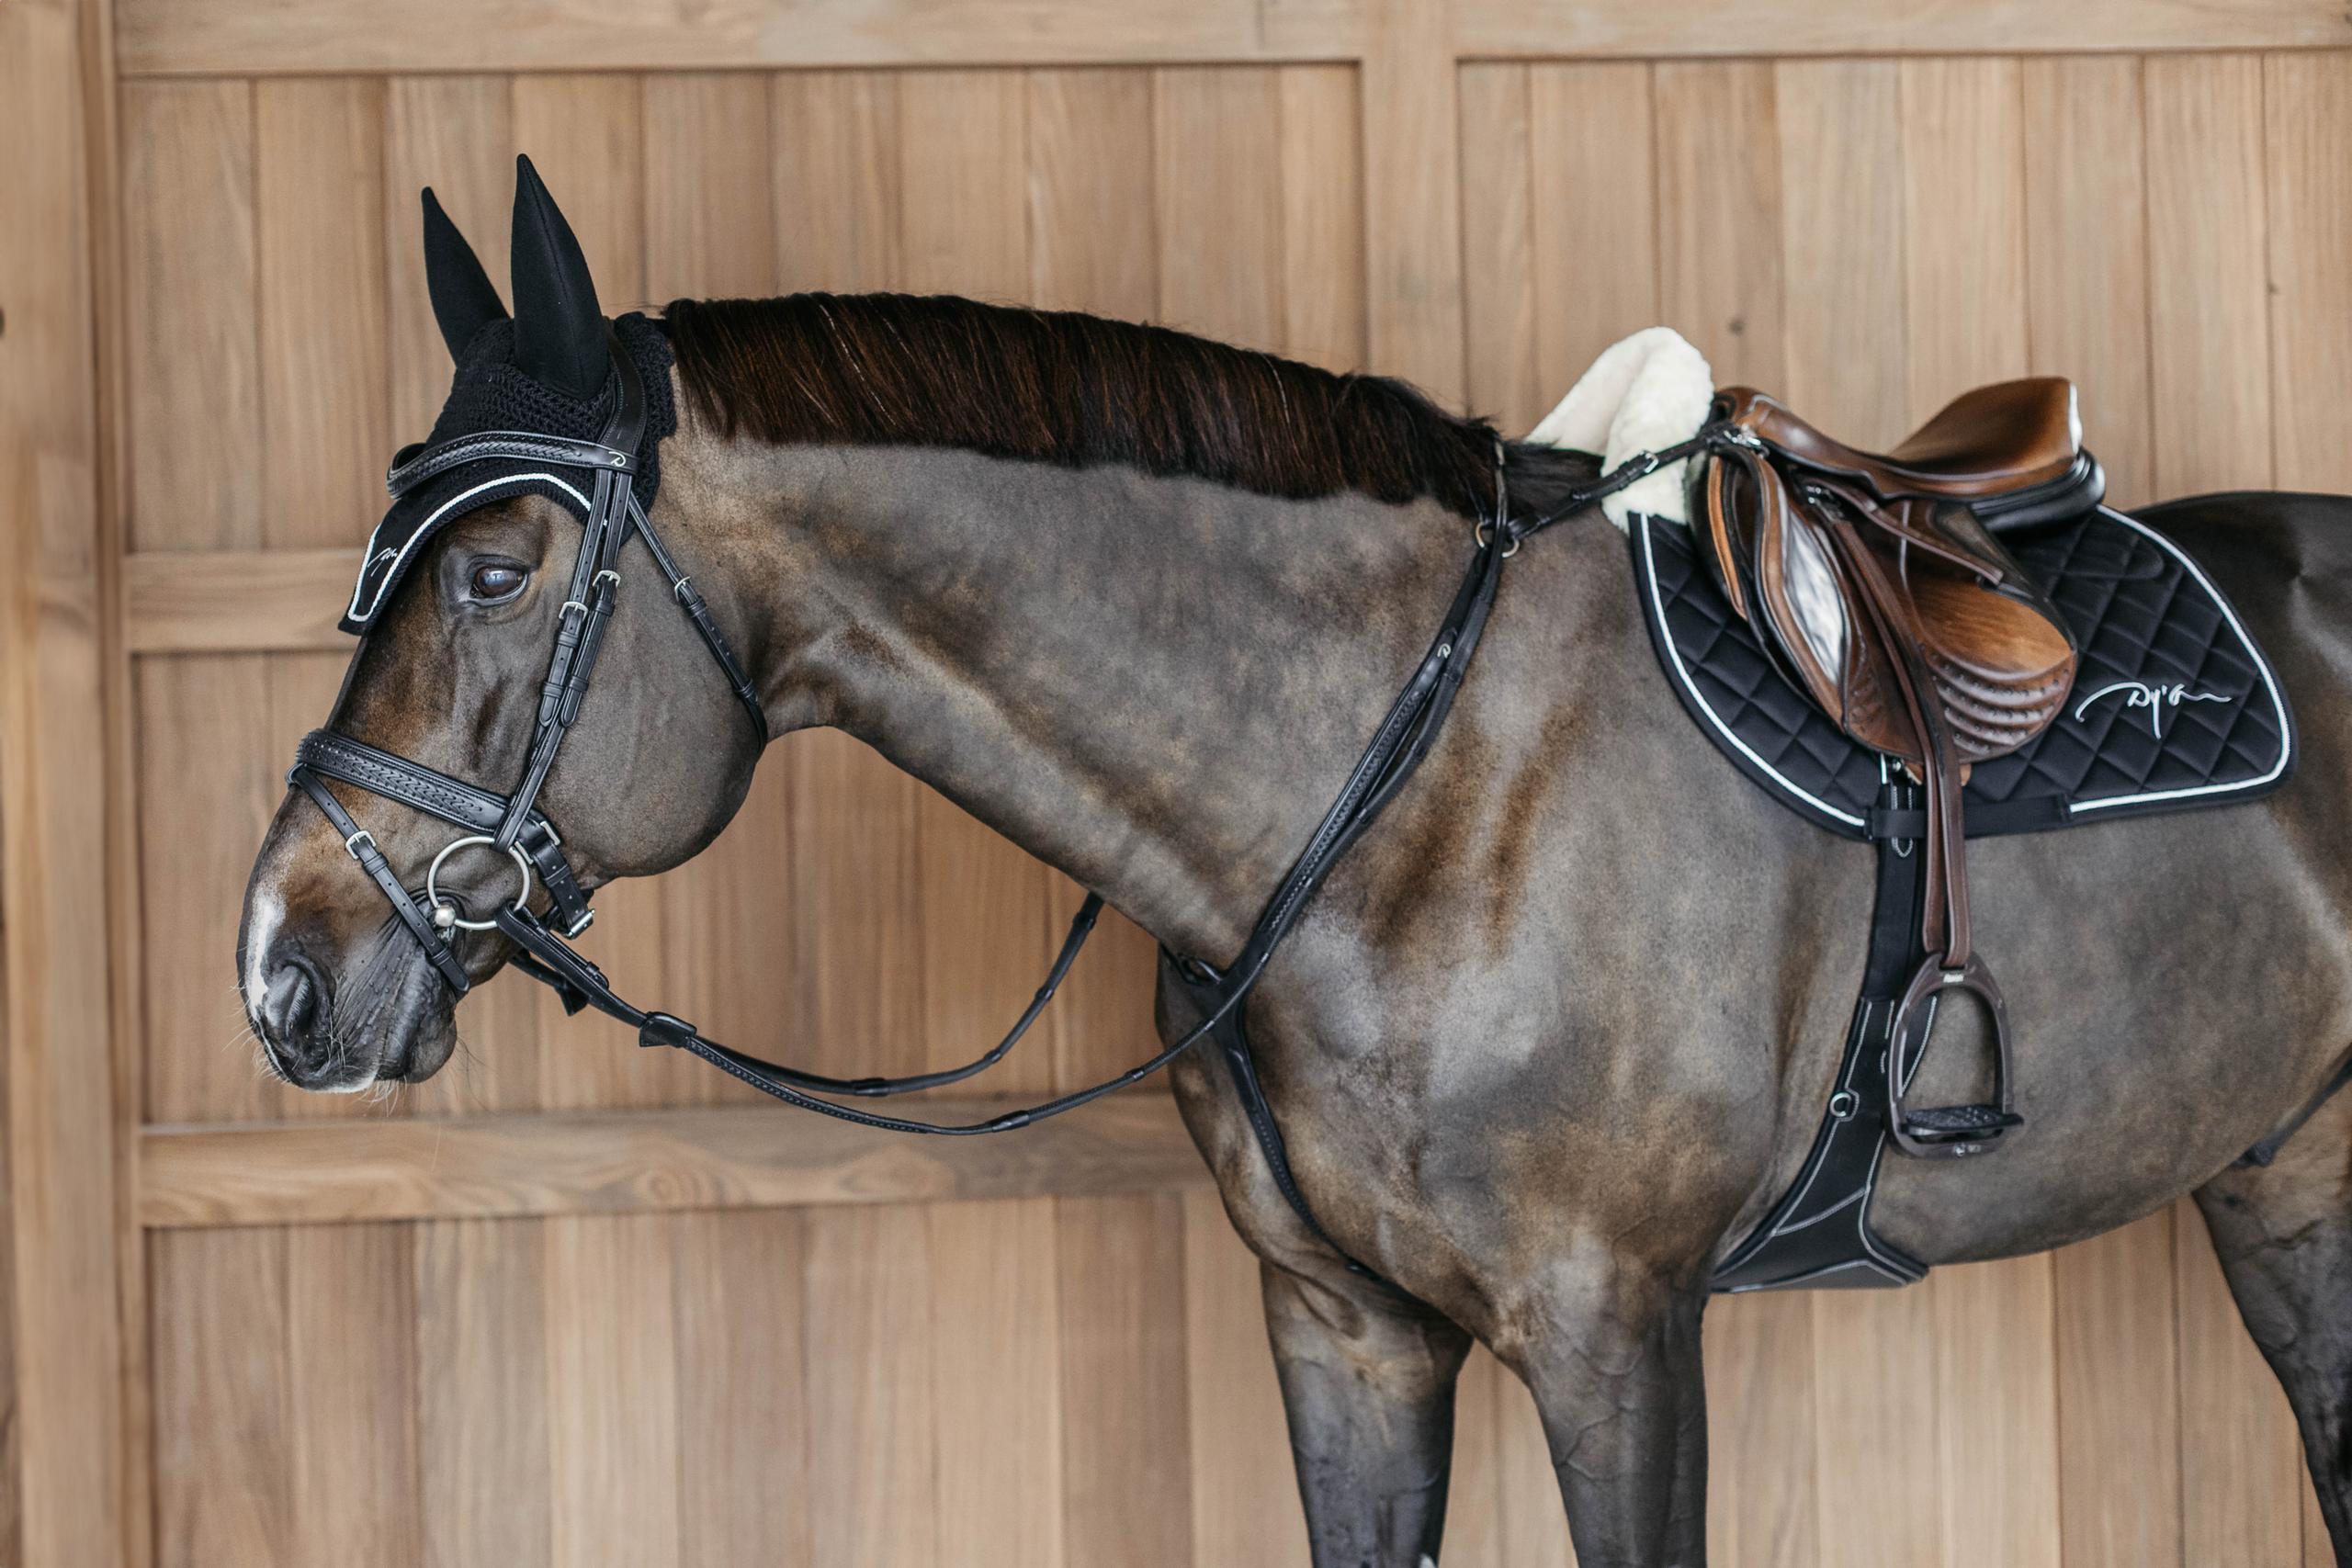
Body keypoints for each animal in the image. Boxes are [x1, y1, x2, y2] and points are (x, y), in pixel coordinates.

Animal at [237, 161, 2352, 1567]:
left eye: (495, 566)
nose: (284, 964)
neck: (1411, 789)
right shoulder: (1340, 1328)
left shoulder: (1615, 1331)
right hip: (2286, 1183)